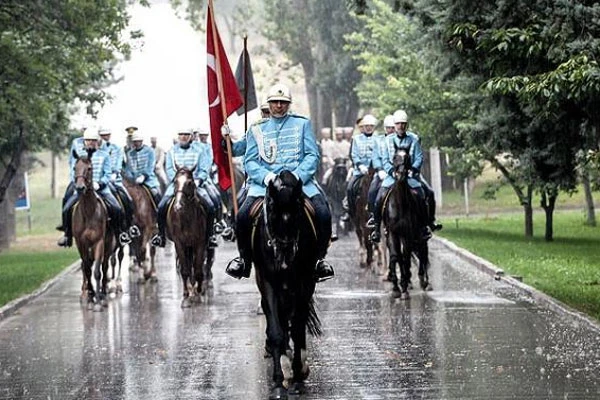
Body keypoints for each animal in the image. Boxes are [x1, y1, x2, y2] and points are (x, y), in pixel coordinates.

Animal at [72, 153, 116, 310]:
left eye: (89, 168)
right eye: (75, 168)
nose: (80, 188)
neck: (88, 212)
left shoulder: (99, 242)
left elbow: (97, 271)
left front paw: (98, 300)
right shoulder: (81, 244)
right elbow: (86, 269)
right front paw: (90, 297)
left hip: (108, 247)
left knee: (104, 266)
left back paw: (103, 294)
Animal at [166, 164, 211, 308]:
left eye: (190, 182)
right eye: (175, 181)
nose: (178, 206)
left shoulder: (200, 243)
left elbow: (198, 269)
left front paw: (199, 291)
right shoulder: (179, 243)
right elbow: (185, 270)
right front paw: (186, 296)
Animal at [253, 170, 324, 400]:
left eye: (298, 211)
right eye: (272, 210)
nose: (285, 257)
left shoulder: (304, 282)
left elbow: (298, 328)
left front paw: (299, 374)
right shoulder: (268, 283)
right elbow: (277, 331)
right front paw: (278, 383)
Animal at [384, 145, 432, 298]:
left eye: (408, 157)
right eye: (394, 157)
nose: (400, 174)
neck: (400, 203)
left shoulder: (407, 234)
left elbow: (405, 257)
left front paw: (404, 286)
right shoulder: (393, 234)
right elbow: (396, 256)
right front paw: (396, 287)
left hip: (419, 235)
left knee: (422, 253)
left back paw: (425, 282)